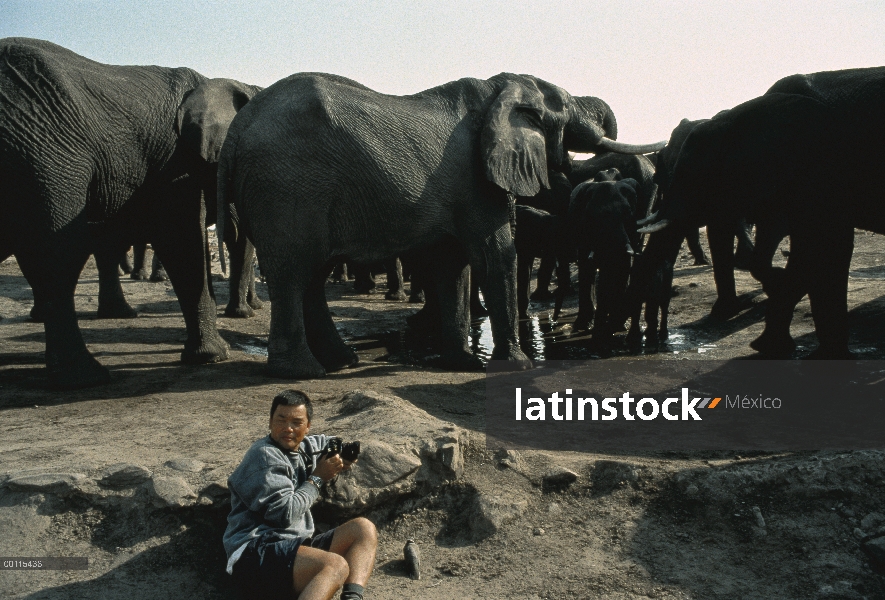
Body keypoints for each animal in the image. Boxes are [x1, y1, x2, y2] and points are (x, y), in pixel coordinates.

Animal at [0, 37, 260, 386]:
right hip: (44, 159)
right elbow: (181, 239)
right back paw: (86, 377)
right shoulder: (176, 163)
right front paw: (214, 356)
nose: (244, 312)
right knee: (59, 255)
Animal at [218, 71, 668, 380]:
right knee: (294, 271)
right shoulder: (476, 180)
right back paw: (302, 371)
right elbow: (494, 255)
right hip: (288, 188)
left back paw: (341, 361)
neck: (498, 90)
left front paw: (464, 363)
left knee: (312, 273)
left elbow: (453, 265)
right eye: (566, 106)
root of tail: (238, 126)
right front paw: (517, 367)